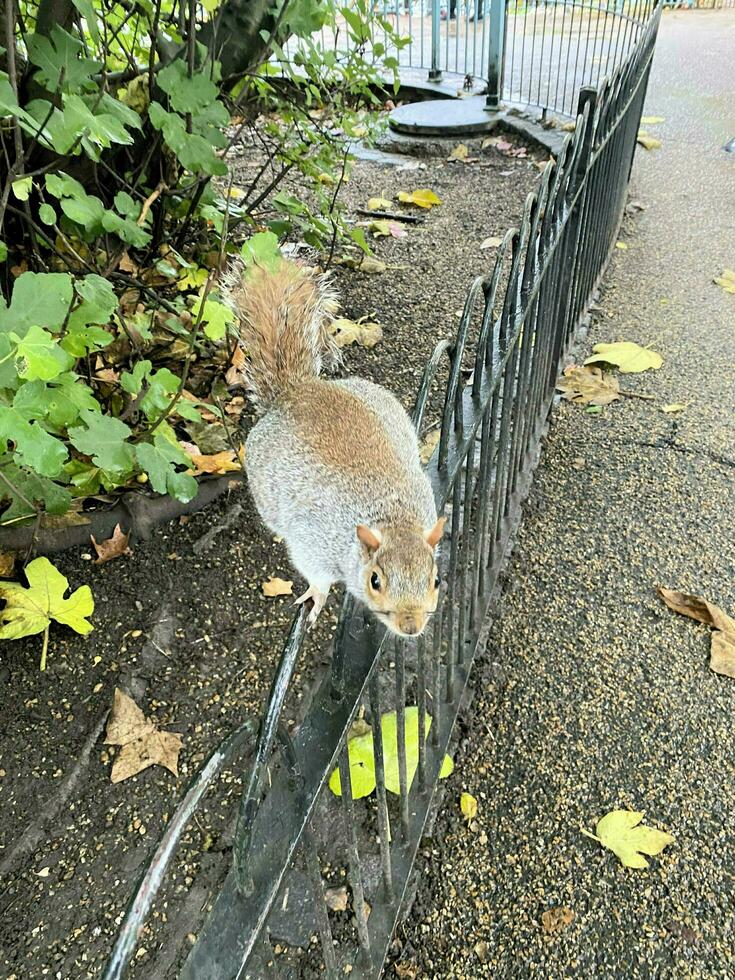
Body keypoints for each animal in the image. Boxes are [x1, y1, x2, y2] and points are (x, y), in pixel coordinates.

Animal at [230, 258, 446, 636]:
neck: (393, 518)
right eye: (375, 580)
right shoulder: (313, 540)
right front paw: (317, 594)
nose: (411, 626)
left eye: (435, 580)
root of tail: (298, 391)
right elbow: (315, 574)